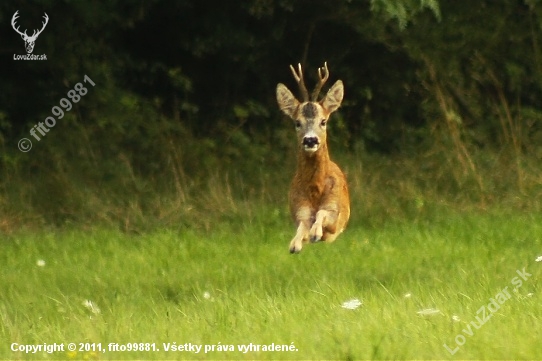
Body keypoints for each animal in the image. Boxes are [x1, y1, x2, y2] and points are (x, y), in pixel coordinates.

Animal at [278, 62, 350, 252]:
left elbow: (322, 213)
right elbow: (302, 226)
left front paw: (316, 233)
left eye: (323, 121)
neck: (315, 190)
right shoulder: (300, 209)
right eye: (297, 122)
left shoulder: (335, 213)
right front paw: (295, 244)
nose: (310, 139)